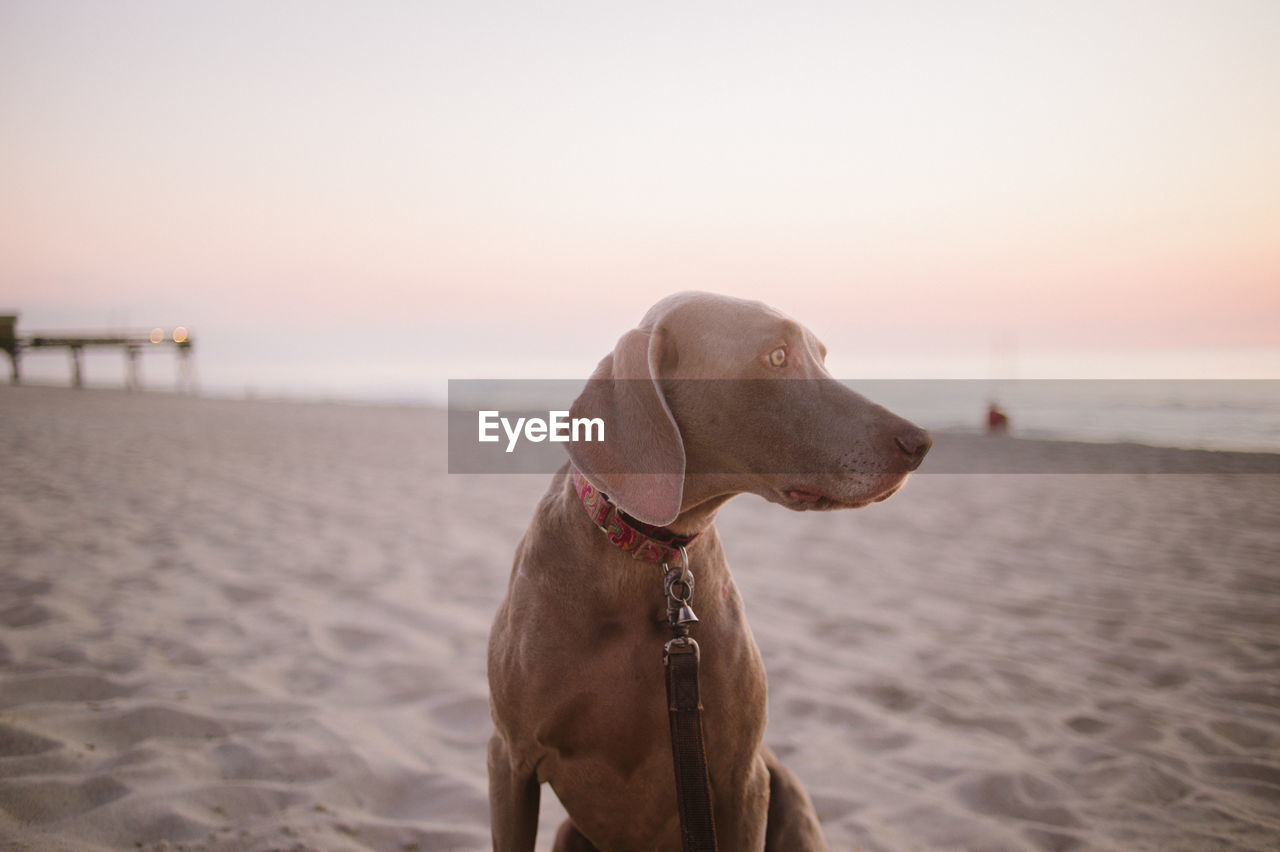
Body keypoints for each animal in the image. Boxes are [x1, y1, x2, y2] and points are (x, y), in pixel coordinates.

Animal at [486, 289, 931, 844]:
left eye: (823, 357)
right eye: (777, 356)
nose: (920, 442)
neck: (645, 558)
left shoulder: (742, 777)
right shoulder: (510, 758)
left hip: (785, 788)